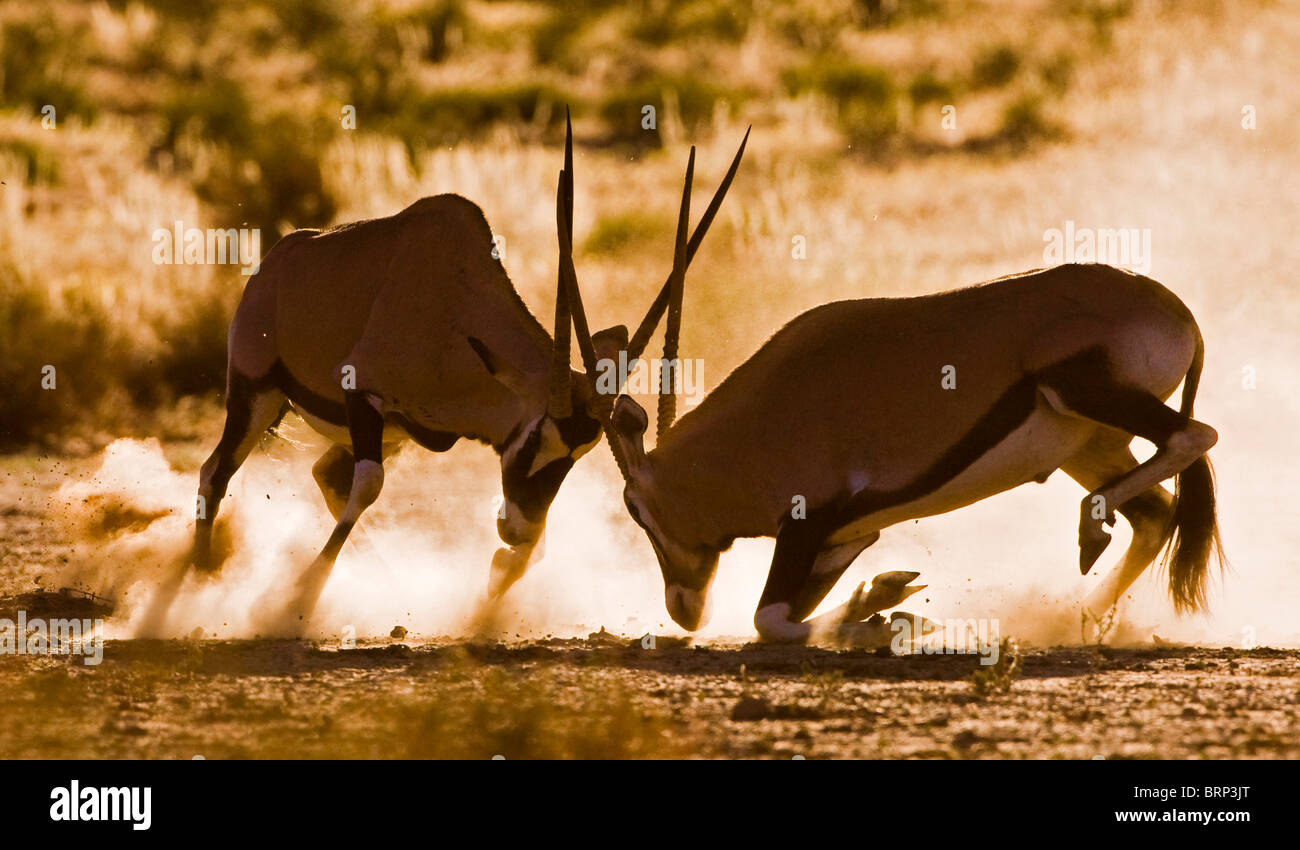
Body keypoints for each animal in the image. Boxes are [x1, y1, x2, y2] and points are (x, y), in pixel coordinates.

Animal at [174, 116, 748, 629]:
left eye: (576, 457)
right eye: (535, 439)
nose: (516, 530)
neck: (454, 306)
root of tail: (276, 262)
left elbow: (530, 549)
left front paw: (496, 581)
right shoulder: (365, 396)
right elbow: (369, 486)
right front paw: (300, 597)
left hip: (388, 435)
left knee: (323, 475)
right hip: (258, 394)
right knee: (215, 473)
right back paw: (199, 583)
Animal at [564, 256, 1222, 642]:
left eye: (633, 509)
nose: (684, 610)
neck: (750, 433)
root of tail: (1179, 312)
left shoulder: (808, 522)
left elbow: (767, 620)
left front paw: (887, 616)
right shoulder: (845, 538)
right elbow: (790, 611)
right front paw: (885, 601)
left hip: (1077, 392)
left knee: (1195, 437)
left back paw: (1088, 536)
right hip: (1085, 446)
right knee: (1157, 514)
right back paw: (1071, 616)